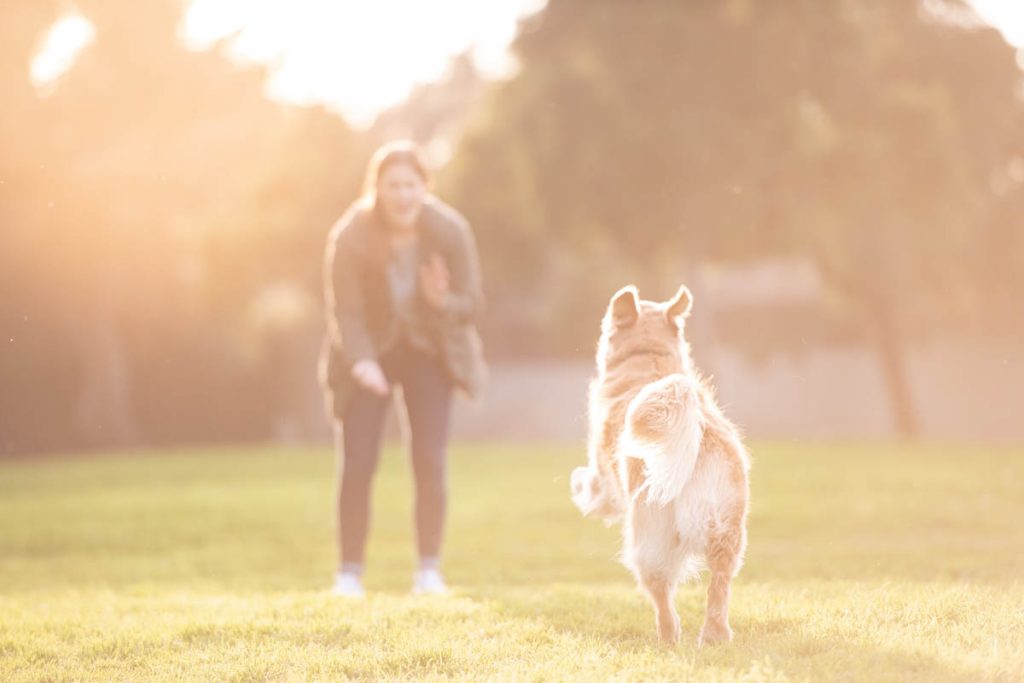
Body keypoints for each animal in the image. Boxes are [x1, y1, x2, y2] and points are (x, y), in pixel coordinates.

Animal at [569, 286, 753, 651]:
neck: (648, 356)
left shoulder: (604, 476)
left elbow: (593, 487)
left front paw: (578, 484)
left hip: (648, 541)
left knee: (662, 596)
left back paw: (669, 637)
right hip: (728, 532)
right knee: (719, 587)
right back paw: (715, 636)